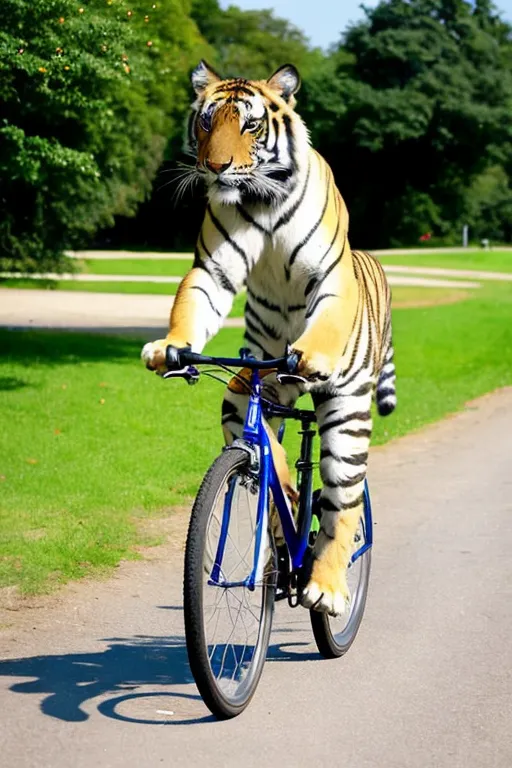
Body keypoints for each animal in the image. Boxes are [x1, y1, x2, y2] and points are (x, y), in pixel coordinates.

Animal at [142, 63, 398, 620]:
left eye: (251, 125)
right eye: (206, 122)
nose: (215, 167)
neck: (261, 200)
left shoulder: (329, 272)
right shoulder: (213, 266)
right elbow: (194, 300)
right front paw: (168, 346)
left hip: (347, 412)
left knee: (343, 503)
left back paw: (326, 586)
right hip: (250, 388)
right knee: (268, 442)